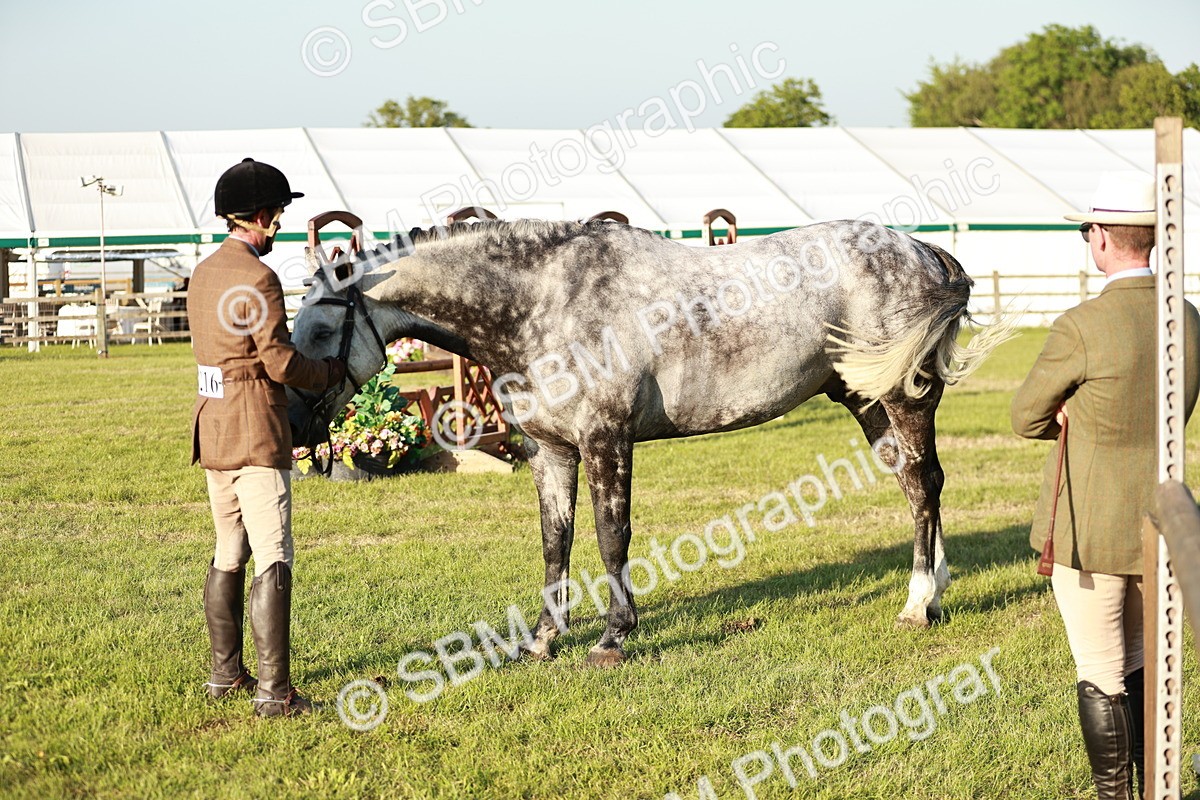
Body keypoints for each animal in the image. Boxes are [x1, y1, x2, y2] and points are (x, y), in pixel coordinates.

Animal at [286, 218, 1014, 667]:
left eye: (318, 332)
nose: (295, 432)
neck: (542, 300)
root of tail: (923, 251)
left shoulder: (606, 440)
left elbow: (612, 536)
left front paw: (613, 637)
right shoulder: (552, 452)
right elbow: (555, 543)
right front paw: (542, 641)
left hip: (904, 396)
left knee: (924, 483)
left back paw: (919, 604)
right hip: (864, 398)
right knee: (915, 485)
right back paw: (934, 590)